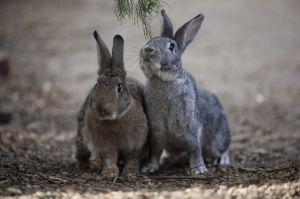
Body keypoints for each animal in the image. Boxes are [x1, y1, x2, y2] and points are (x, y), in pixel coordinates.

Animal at [75, 30, 149, 177]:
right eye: (96, 85)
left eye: (119, 87)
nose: (101, 109)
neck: (114, 119)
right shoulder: (105, 146)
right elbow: (109, 158)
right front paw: (109, 173)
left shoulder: (136, 144)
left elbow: (133, 158)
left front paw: (130, 173)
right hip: (83, 141)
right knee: (82, 158)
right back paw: (94, 164)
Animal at [139, 10, 231, 174]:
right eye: (151, 40)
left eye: (171, 47)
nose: (148, 50)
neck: (162, 80)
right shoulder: (157, 133)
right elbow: (154, 152)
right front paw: (149, 168)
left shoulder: (189, 130)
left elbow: (194, 148)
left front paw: (199, 169)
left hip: (216, 140)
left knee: (224, 147)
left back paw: (223, 160)